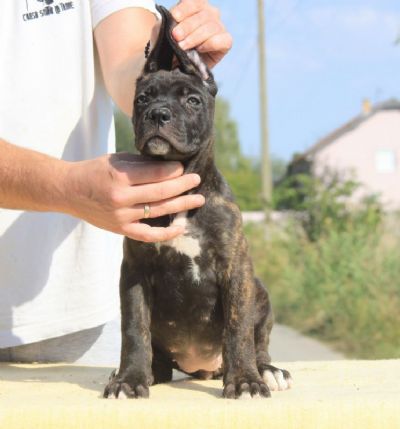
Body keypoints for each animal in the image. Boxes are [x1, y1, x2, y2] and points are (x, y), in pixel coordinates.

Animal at [103, 4, 290, 398]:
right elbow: (134, 330)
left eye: (192, 100)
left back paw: (266, 370)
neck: (181, 194)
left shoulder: (235, 269)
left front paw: (246, 380)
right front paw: (129, 379)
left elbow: (238, 329)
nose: (158, 113)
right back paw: (148, 371)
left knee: (259, 341)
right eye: (142, 98)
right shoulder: (135, 273)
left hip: (261, 294)